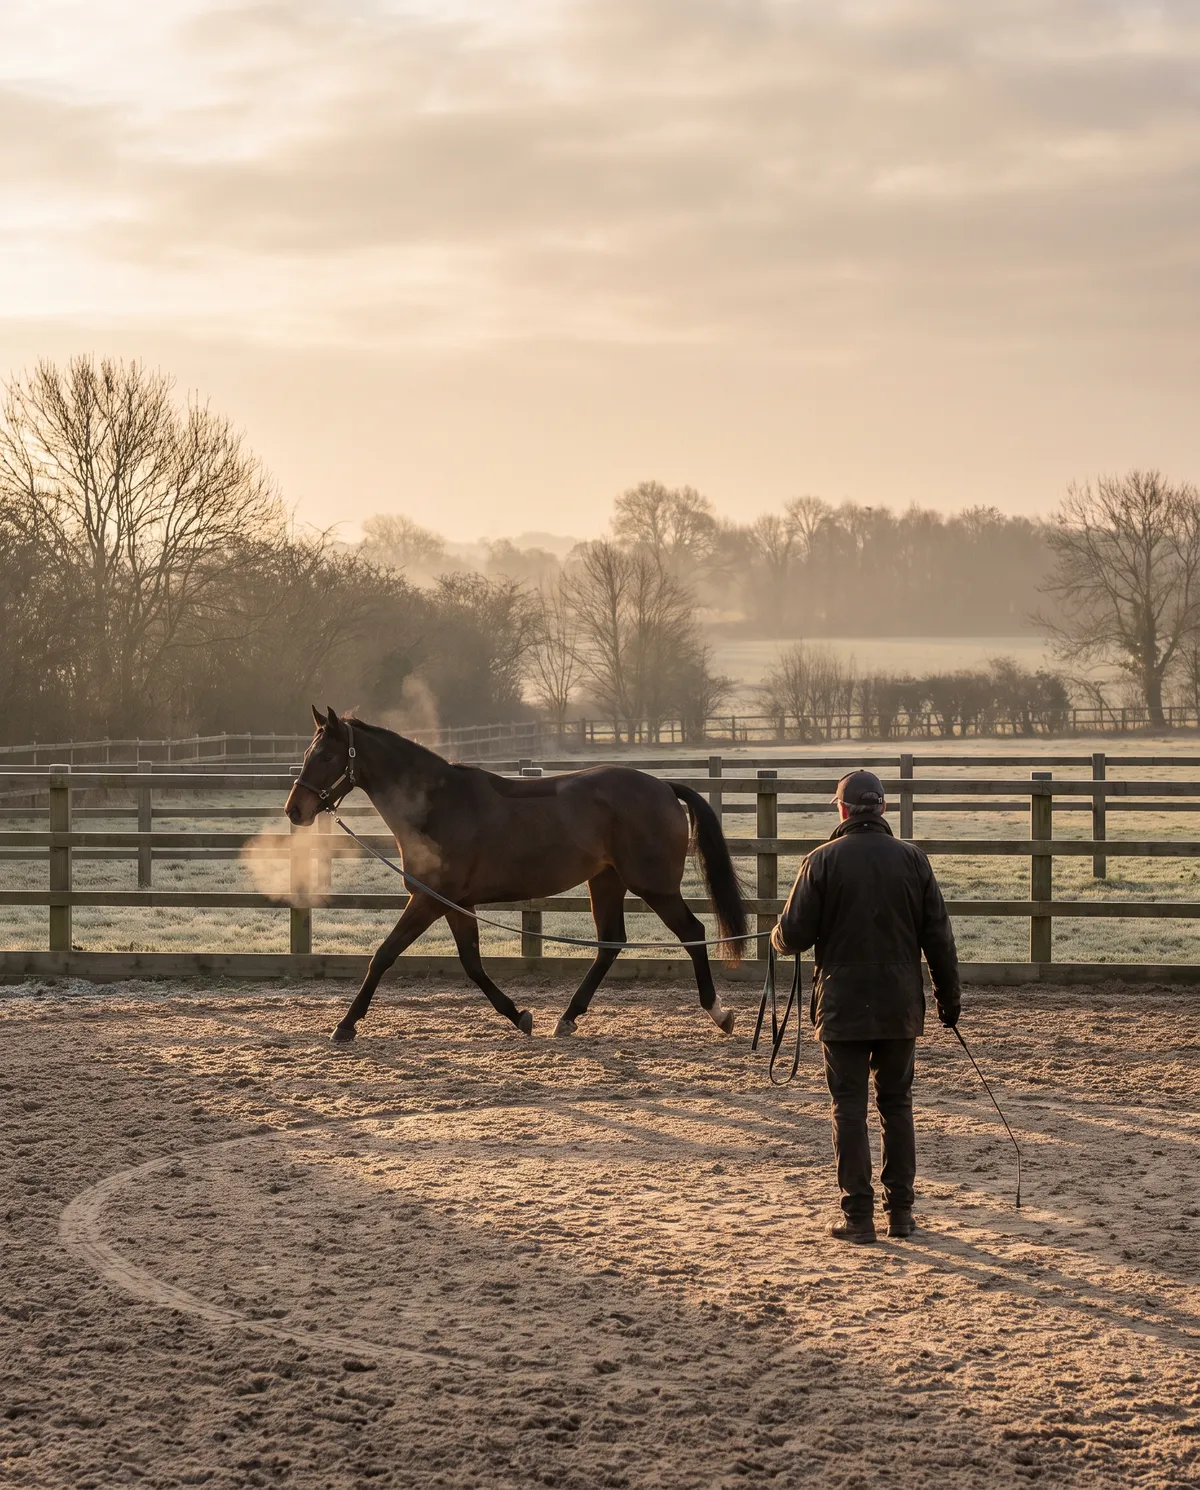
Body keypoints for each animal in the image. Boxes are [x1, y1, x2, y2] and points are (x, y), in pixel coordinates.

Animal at [284, 707, 750, 1043]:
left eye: (326, 756)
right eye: (307, 755)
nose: (295, 810)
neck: (438, 807)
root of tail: (663, 786)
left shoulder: (429, 899)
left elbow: (383, 955)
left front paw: (345, 1025)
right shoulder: (456, 903)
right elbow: (472, 963)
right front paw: (520, 1016)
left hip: (654, 886)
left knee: (692, 932)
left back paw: (719, 1013)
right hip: (606, 881)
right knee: (611, 942)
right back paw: (567, 1019)